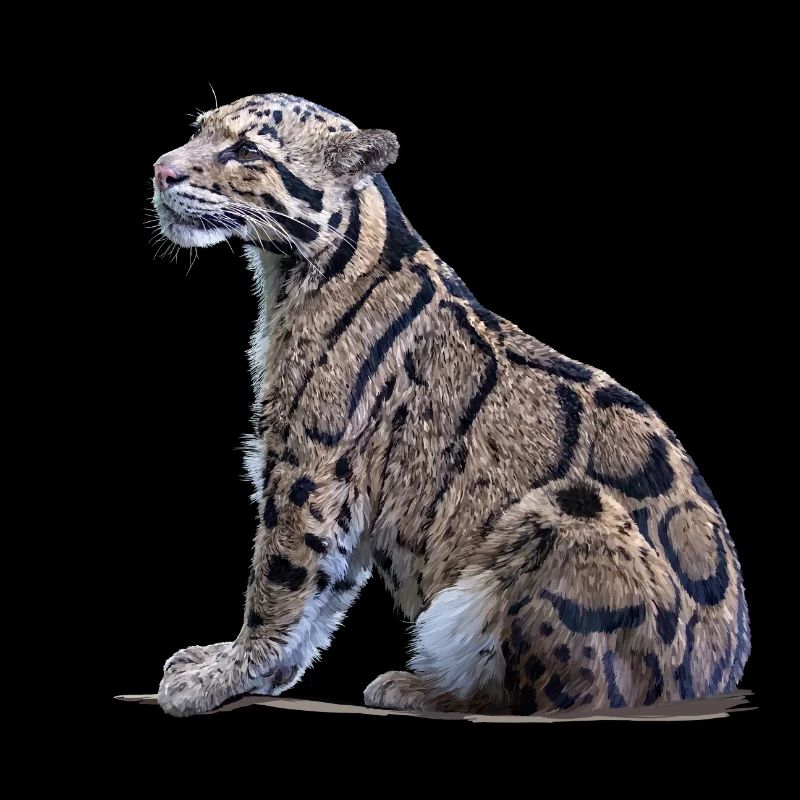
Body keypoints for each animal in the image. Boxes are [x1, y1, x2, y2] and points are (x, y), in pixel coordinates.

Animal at [151, 92, 750, 716]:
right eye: (198, 130)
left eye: (247, 150)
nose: (161, 171)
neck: (285, 277)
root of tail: (716, 674)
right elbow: (324, 591)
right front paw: (254, 671)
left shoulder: (308, 466)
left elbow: (281, 580)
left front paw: (222, 674)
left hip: (572, 512)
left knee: (559, 696)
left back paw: (422, 686)